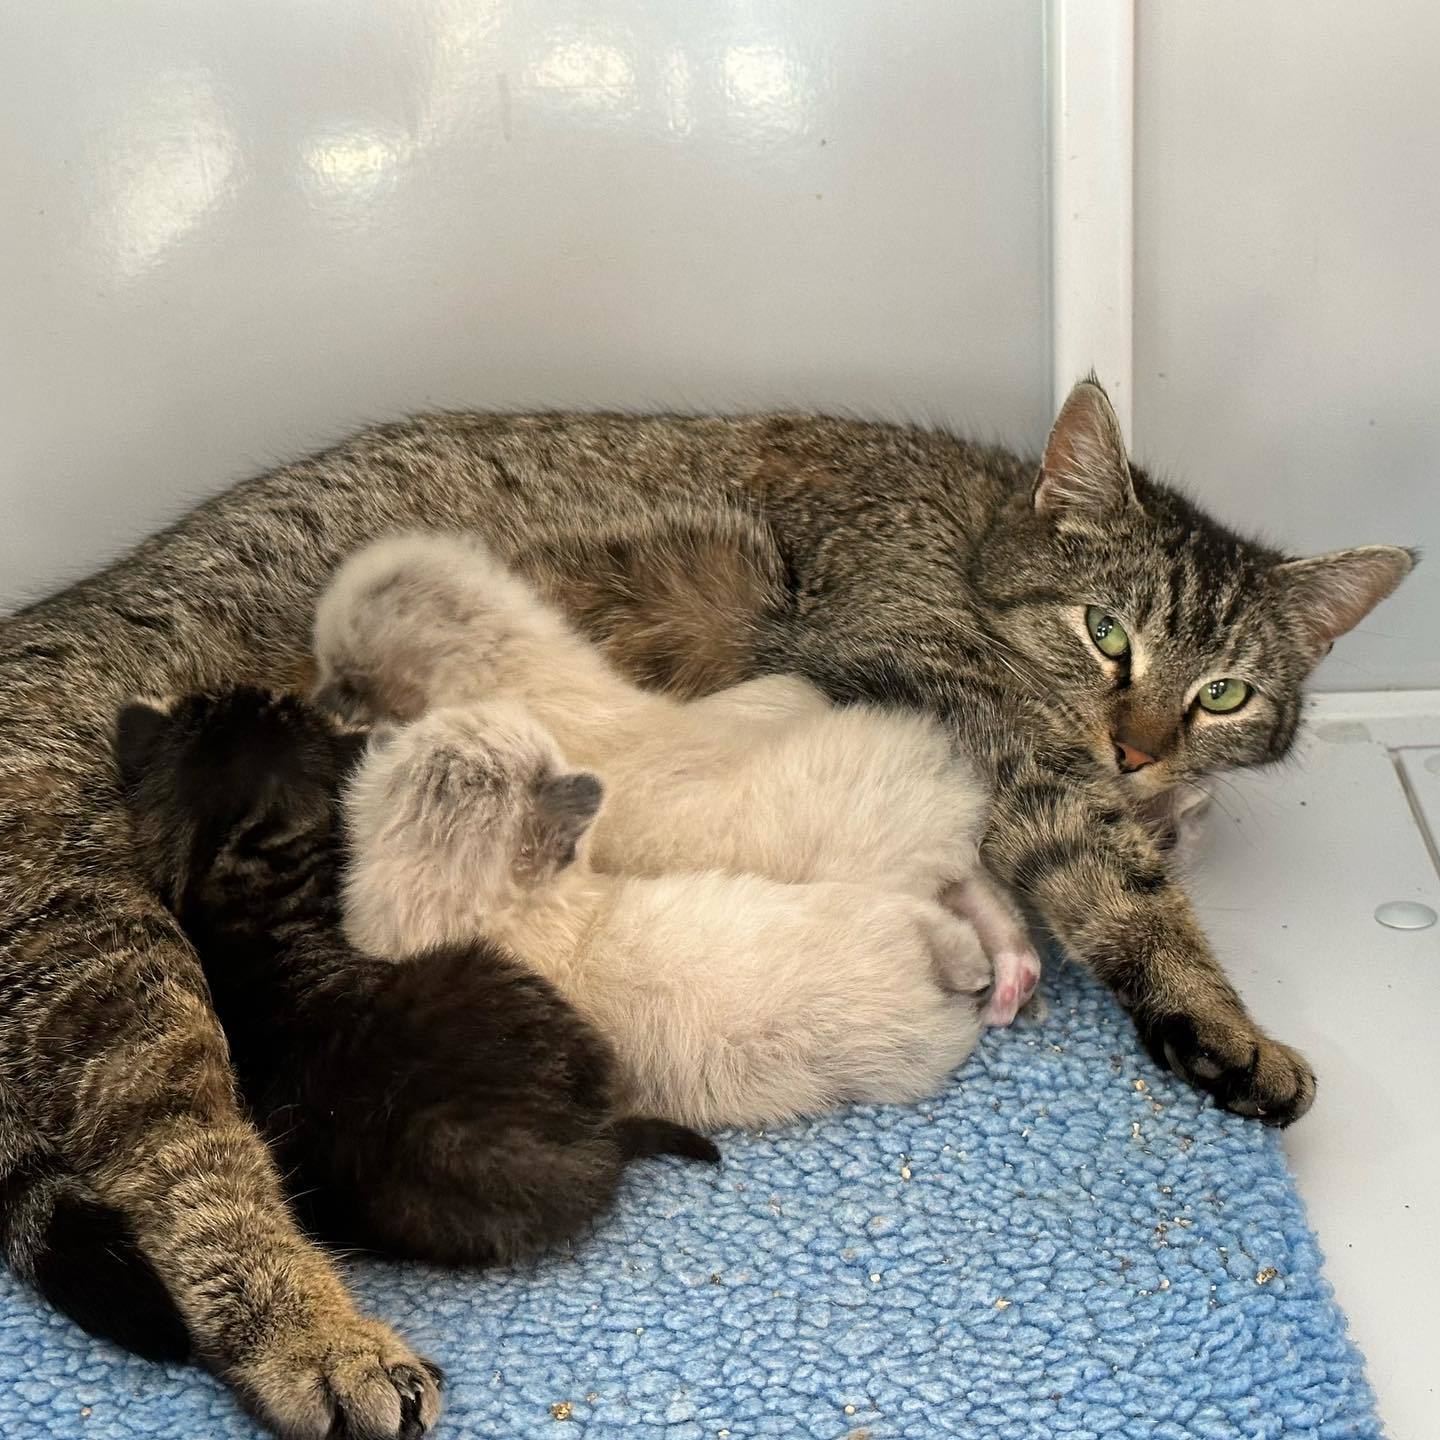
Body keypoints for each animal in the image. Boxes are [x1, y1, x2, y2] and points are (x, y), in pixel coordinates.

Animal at [312, 532, 1048, 1025]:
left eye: (344, 672)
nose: (317, 702)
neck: (522, 667)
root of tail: (943, 782)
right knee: (984, 892)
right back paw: (1014, 972)